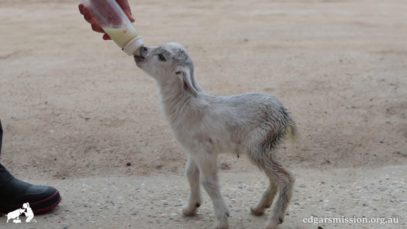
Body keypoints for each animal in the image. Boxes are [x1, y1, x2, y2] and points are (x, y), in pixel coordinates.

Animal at [135, 43, 298, 229]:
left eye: (162, 57)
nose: (142, 48)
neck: (185, 104)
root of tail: (284, 115)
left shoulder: (205, 152)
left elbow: (209, 183)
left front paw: (221, 220)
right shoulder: (194, 149)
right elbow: (190, 174)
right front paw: (190, 208)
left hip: (259, 146)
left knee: (286, 178)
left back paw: (273, 220)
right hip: (265, 149)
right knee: (275, 177)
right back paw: (259, 208)